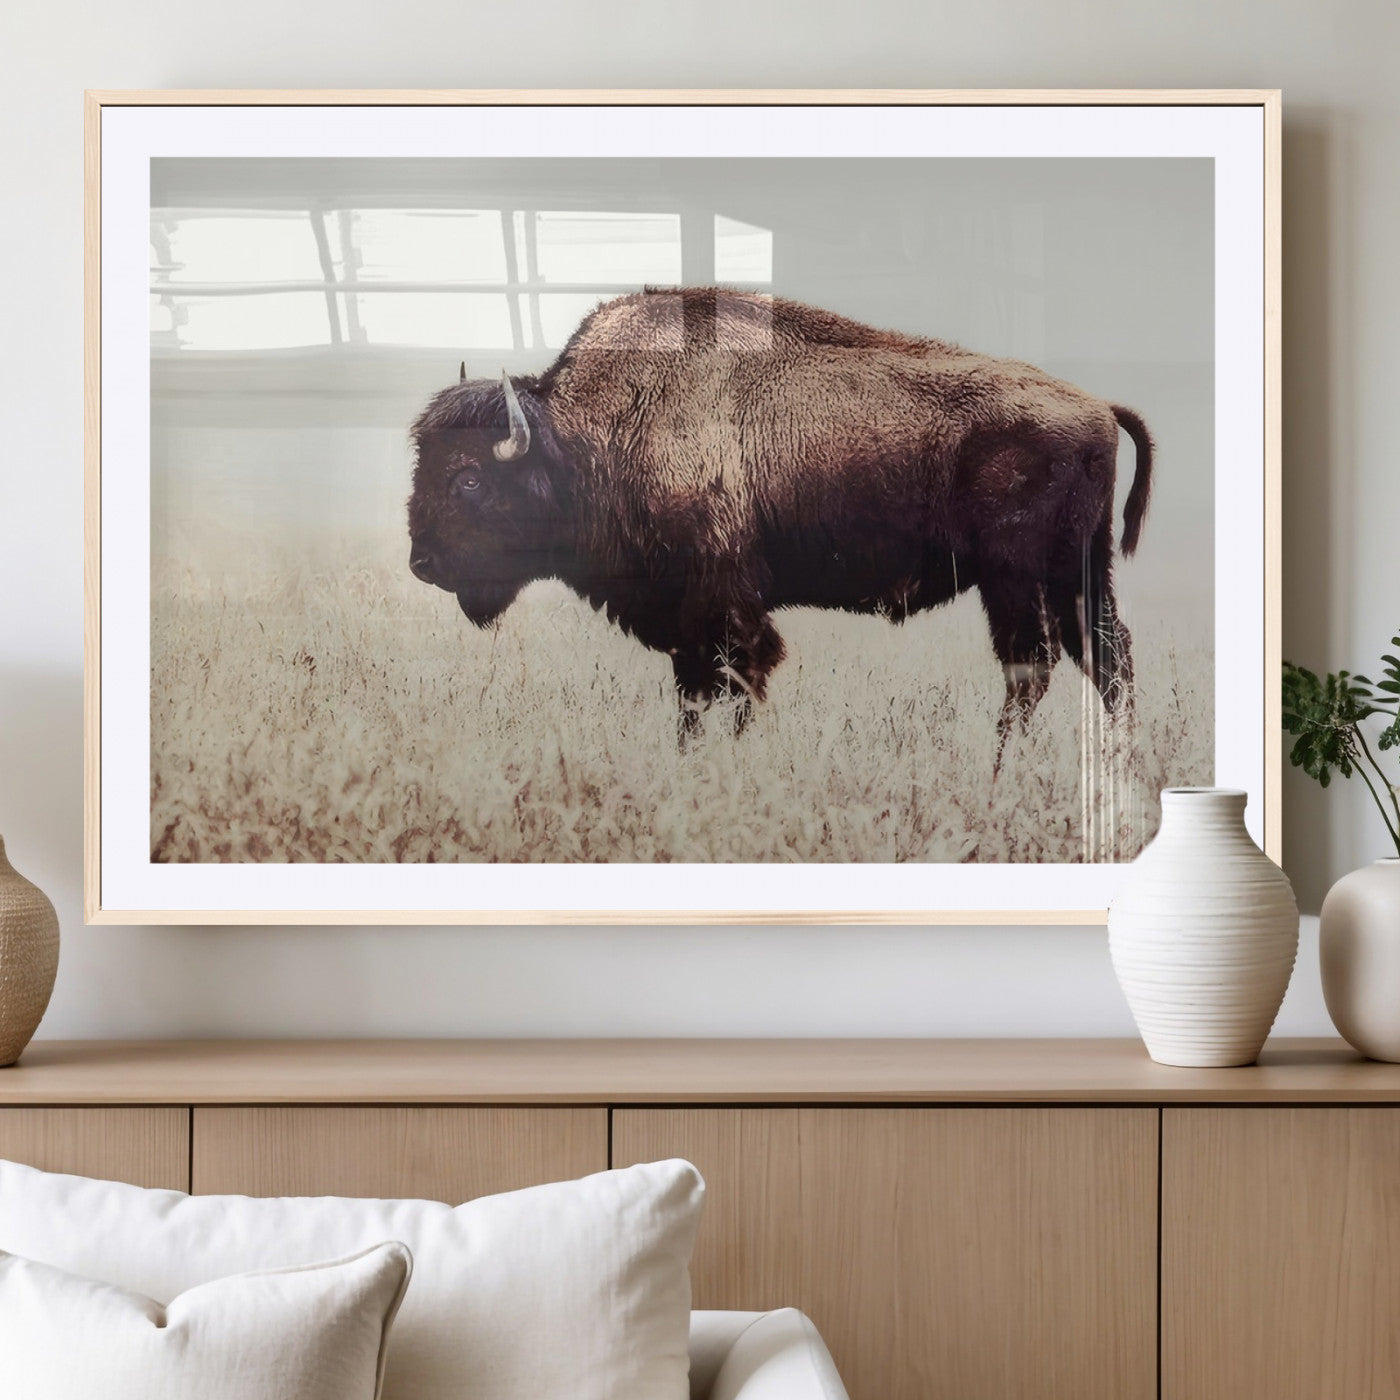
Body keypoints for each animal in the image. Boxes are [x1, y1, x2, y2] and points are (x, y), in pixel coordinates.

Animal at [407, 288, 1152, 745]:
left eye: (469, 478)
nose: (422, 564)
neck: (589, 436)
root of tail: (1096, 405)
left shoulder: (723, 606)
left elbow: (733, 682)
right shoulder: (689, 621)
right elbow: (695, 694)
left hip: (1015, 576)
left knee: (1033, 665)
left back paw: (1000, 768)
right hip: (1078, 571)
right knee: (1105, 657)